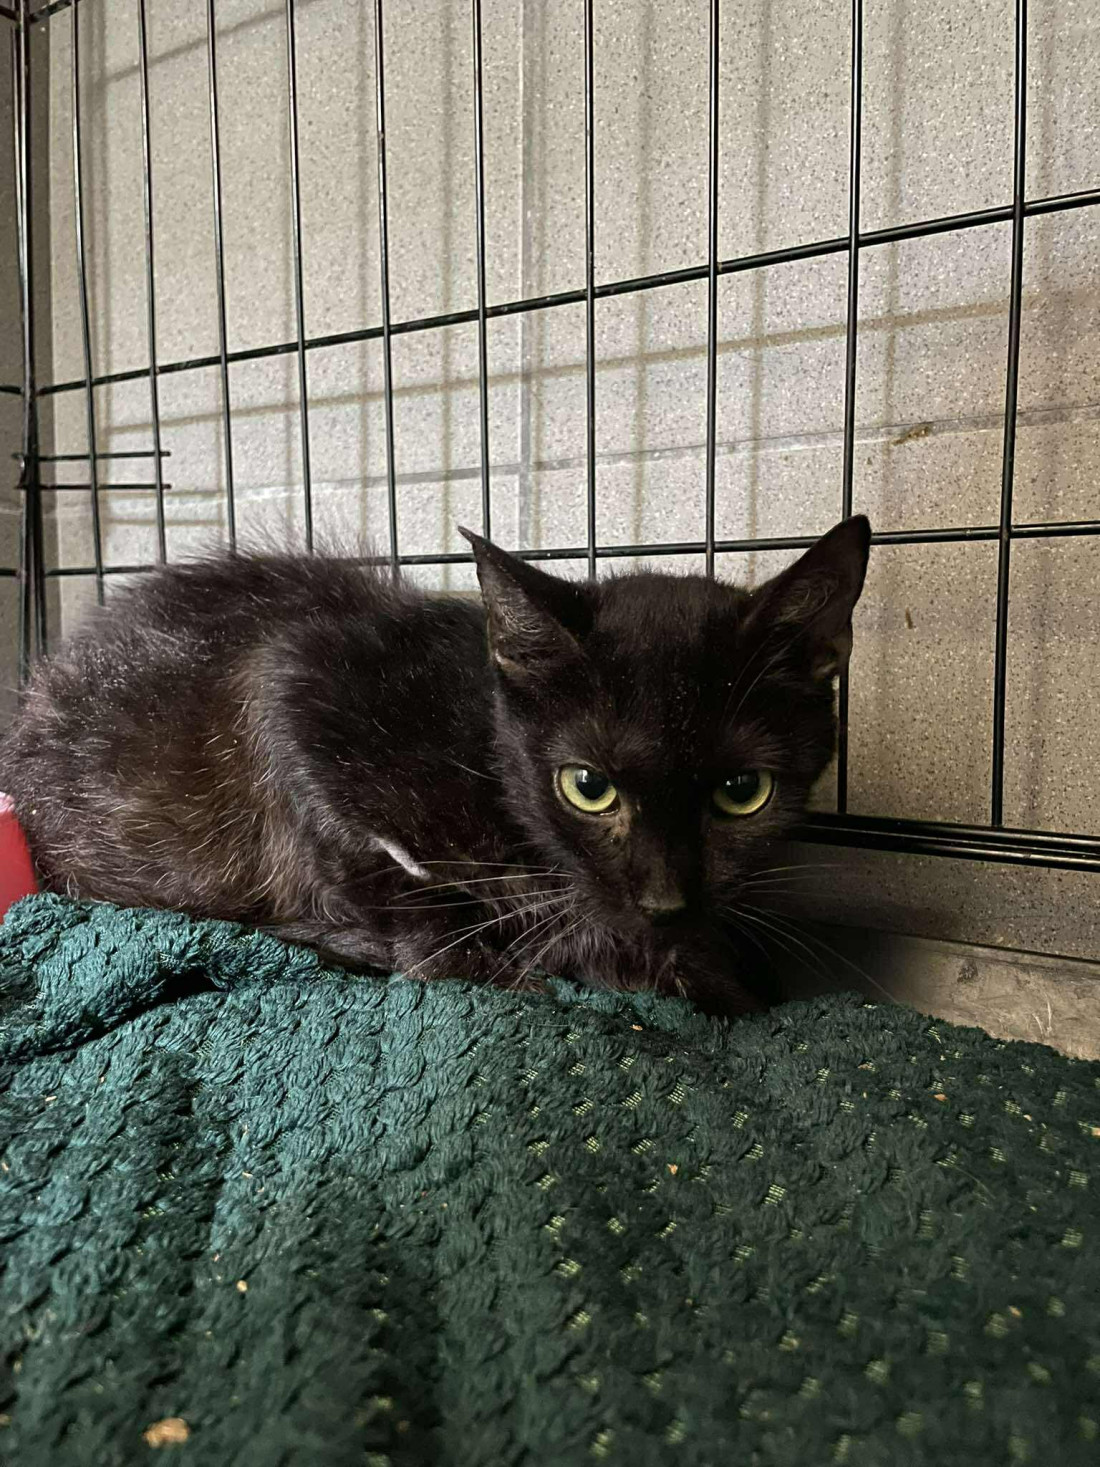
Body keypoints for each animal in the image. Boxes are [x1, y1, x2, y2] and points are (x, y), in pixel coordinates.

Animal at [1, 515, 870, 1015]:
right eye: (588, 787)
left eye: (742, 792)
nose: (663, 901)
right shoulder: (288, 679)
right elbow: (382, 876)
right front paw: (479, 958)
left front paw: (706, 968)